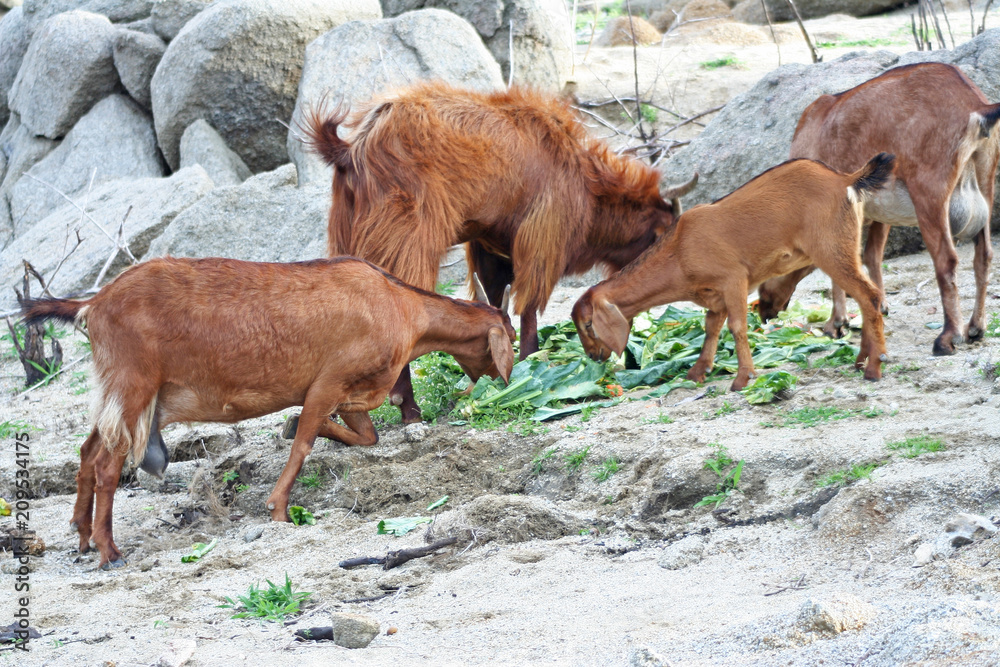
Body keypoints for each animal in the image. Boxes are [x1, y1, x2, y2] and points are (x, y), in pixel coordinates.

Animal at [22, 256, 515, 569]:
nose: (502, 376)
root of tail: (92, 304)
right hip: (134, 385)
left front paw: (292, 425)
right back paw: (109, 551)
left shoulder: (349, 391)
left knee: (88, 452)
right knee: (107, 464)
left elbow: (364, 434)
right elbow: (304, 444)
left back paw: (82, 536)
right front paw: (278, 509)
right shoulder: (327, 381)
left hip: (121, 395)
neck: (402, 308)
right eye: (507, 338)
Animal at [301, 81, 698, 422]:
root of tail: (351, 149)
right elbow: (530, 307)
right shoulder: (541, 237)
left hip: (347, 238)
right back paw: (409, 410)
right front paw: (531, 361)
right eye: (660, 236)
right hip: (407, 240)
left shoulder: (490, 246)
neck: (585, 178)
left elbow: (494, 300)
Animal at [572, 154, 896, 391]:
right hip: (846, 248)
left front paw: (743, 378)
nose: (592, 355)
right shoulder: (715, 297)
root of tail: (846, 180)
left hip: (831, 252)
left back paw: (874, 366)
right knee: (866, 299)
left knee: (869, 297)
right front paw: (697, 372)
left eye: (588, 324)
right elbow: (711, 328)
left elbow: (737, 327)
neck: (679, 250)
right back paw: (861, 359)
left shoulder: (734, 280)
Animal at [757, 63, 1000, 354]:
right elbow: (872, 254)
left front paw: (836, 323)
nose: (763, 313)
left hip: (930, 198)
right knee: (983, 256)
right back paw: (976, 327)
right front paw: (879, 306)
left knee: (947, 260)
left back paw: (948, 337)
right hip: (986, 184)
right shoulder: (879, 212)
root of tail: (977, 107)